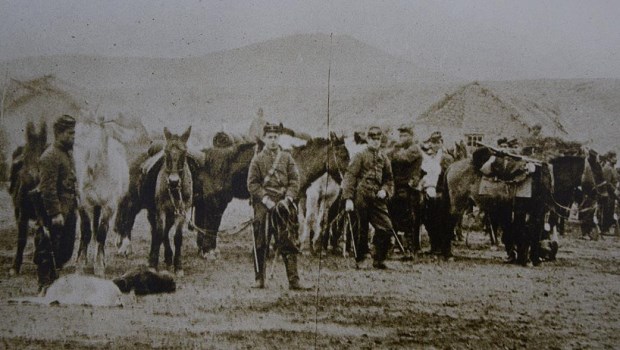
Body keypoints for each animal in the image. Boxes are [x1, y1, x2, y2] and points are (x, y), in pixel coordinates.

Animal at [74, 116, 130, 278]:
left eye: (100, 137)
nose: (88, 168)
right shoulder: (84, 203)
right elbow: (86, 231)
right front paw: (80, 265)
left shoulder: (109, 206)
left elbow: (101, 233)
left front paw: (99, 267)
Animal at [147, 127, 191, 274]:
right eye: (166, 152)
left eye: (184, 152)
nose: (173, 181)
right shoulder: (160, 210)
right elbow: (159, 233)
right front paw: (153, 264)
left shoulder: (182, 210)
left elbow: (177, 237)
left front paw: (178, 266)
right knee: (156, 231)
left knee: (166, 230)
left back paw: (168, 257)